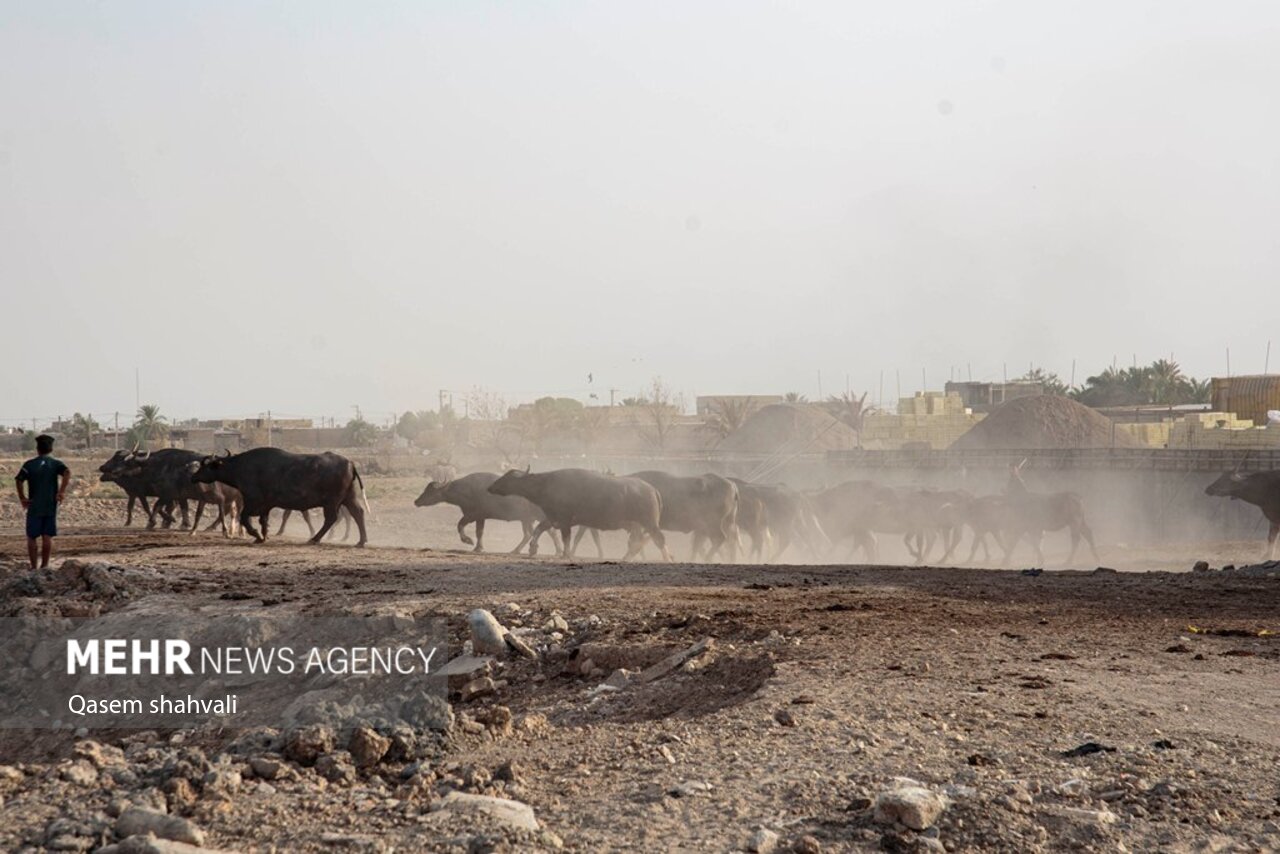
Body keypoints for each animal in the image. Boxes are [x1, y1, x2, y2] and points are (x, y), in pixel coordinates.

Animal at [190, 448, 371, 547]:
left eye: (206, 466)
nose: (193, 477)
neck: (243, 467)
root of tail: (350, 463)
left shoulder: (253, 501)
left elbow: (245, 518)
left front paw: (256, 535)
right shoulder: (265, 505)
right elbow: (263, 520)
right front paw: (264, 536)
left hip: (332, 501)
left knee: (332, 518)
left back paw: (314, 539)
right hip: (349, 497)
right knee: (358, 513)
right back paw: (361, 541)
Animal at [414, 473, 555, 555]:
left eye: (431, 491)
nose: (416, 501)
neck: (466, 490)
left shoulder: (472, 515)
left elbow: (460, 525)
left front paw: (468, 541)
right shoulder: (480, 518)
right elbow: (479, 532)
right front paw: (478, 547)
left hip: (535, 518)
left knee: (543, 532)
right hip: (526, 519)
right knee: (530, 534)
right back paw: (517, 550)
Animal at [486, 468, 670, 560]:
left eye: (507, 477)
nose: (490, 487)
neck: (546, 484)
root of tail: (652, 490)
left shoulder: (564, 520)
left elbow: (566, 538)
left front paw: (566, 554)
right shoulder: (553, 517)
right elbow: (539, 529)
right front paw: (532, 549)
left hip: (649, 523)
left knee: (659, 540)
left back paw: (666, 559)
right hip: (637, 525)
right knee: (636, 543)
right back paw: (626, 558)